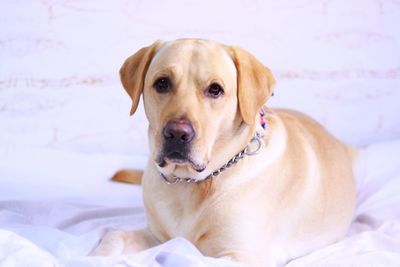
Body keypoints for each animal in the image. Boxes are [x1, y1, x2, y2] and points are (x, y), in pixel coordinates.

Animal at [94, 38, 356, 266]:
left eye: (215, 89)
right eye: (162, 83)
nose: (177, 134)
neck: (190, 183)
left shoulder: (243, 256)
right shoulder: (157, 236)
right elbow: (114, 235)